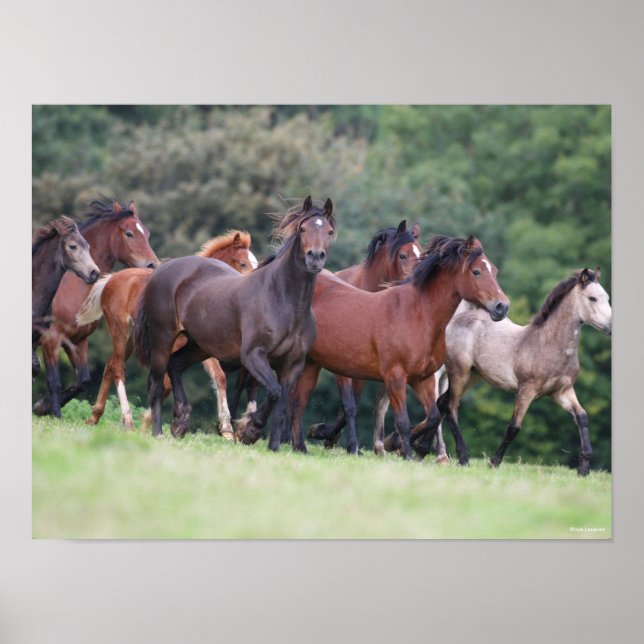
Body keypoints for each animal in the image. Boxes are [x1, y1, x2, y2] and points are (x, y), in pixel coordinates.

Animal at [76, 230, 258, 432]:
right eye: (242, 263)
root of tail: (111, 279)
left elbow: (216, 377)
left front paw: (225, 428)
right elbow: (170, 382)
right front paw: (153, 423)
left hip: (130, 339)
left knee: (111, 364)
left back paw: (95, 416)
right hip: (120, 332)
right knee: (118, 368)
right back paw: (128, 420)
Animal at [133, 196, 336, 449]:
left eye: (329, 231)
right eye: (302, 229)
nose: (315, 258)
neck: (283, 301)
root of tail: (164, 268)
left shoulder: (293, 365)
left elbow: (280, 407)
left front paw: (272, 447)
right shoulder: (252, 356)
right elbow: (274, 391)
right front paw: (249, 430)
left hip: (199, 346)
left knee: (176, 365)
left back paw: (181, 421)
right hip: (163, 338)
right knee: (157, 383)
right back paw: (159, 432)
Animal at [237, 235, 510, 458]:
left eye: (494, 271)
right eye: (476, 271)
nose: (502, 306)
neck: (417, 314)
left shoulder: (422, 379)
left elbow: (432, 417)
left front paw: (398, 444)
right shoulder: (395, 378)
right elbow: (402, 421)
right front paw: (404, 451)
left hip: (310, 365)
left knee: (297, 403)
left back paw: (300, 447)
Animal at [433, 267, 611, 476]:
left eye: (607, 297)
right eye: (592, 298)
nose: (611, 326)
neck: (548, 345)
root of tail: (454, 321)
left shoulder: (562, 391)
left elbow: (582, 417)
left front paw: (583, 468)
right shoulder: (527, 390)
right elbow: (514, 427)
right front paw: (494, 462)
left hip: (473, 376)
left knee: (442, 402)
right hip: (459, 372)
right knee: (451, 406)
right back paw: (462, 458)